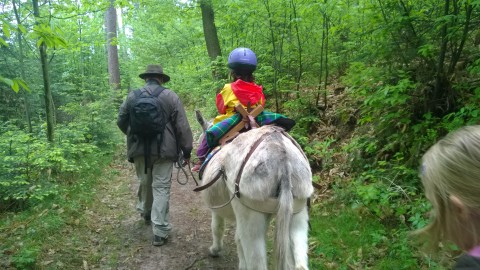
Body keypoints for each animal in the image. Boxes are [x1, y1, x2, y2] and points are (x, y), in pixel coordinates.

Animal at [195, 115, 316, 268]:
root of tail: (282, 157)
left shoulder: (218, 211)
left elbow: (217, 228)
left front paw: (215, 250)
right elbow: (237, 240)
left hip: (251, 218)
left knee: (257, 263)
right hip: (298, 212)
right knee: (300, 263)